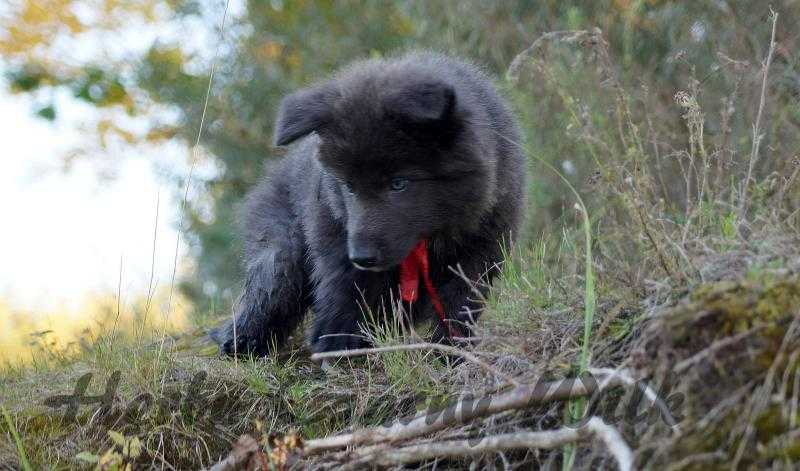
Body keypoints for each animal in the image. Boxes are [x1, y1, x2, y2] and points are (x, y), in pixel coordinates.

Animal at [210, 51, 526, 356]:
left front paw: (451, 350)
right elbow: (345, 295)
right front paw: (337, 348)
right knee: (273, 286)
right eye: (348, 186)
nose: (362, 257)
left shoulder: (482, 247)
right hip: (281, 243)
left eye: (398, 183)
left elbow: (460, 302)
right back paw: (242, 339)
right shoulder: (336, 238)